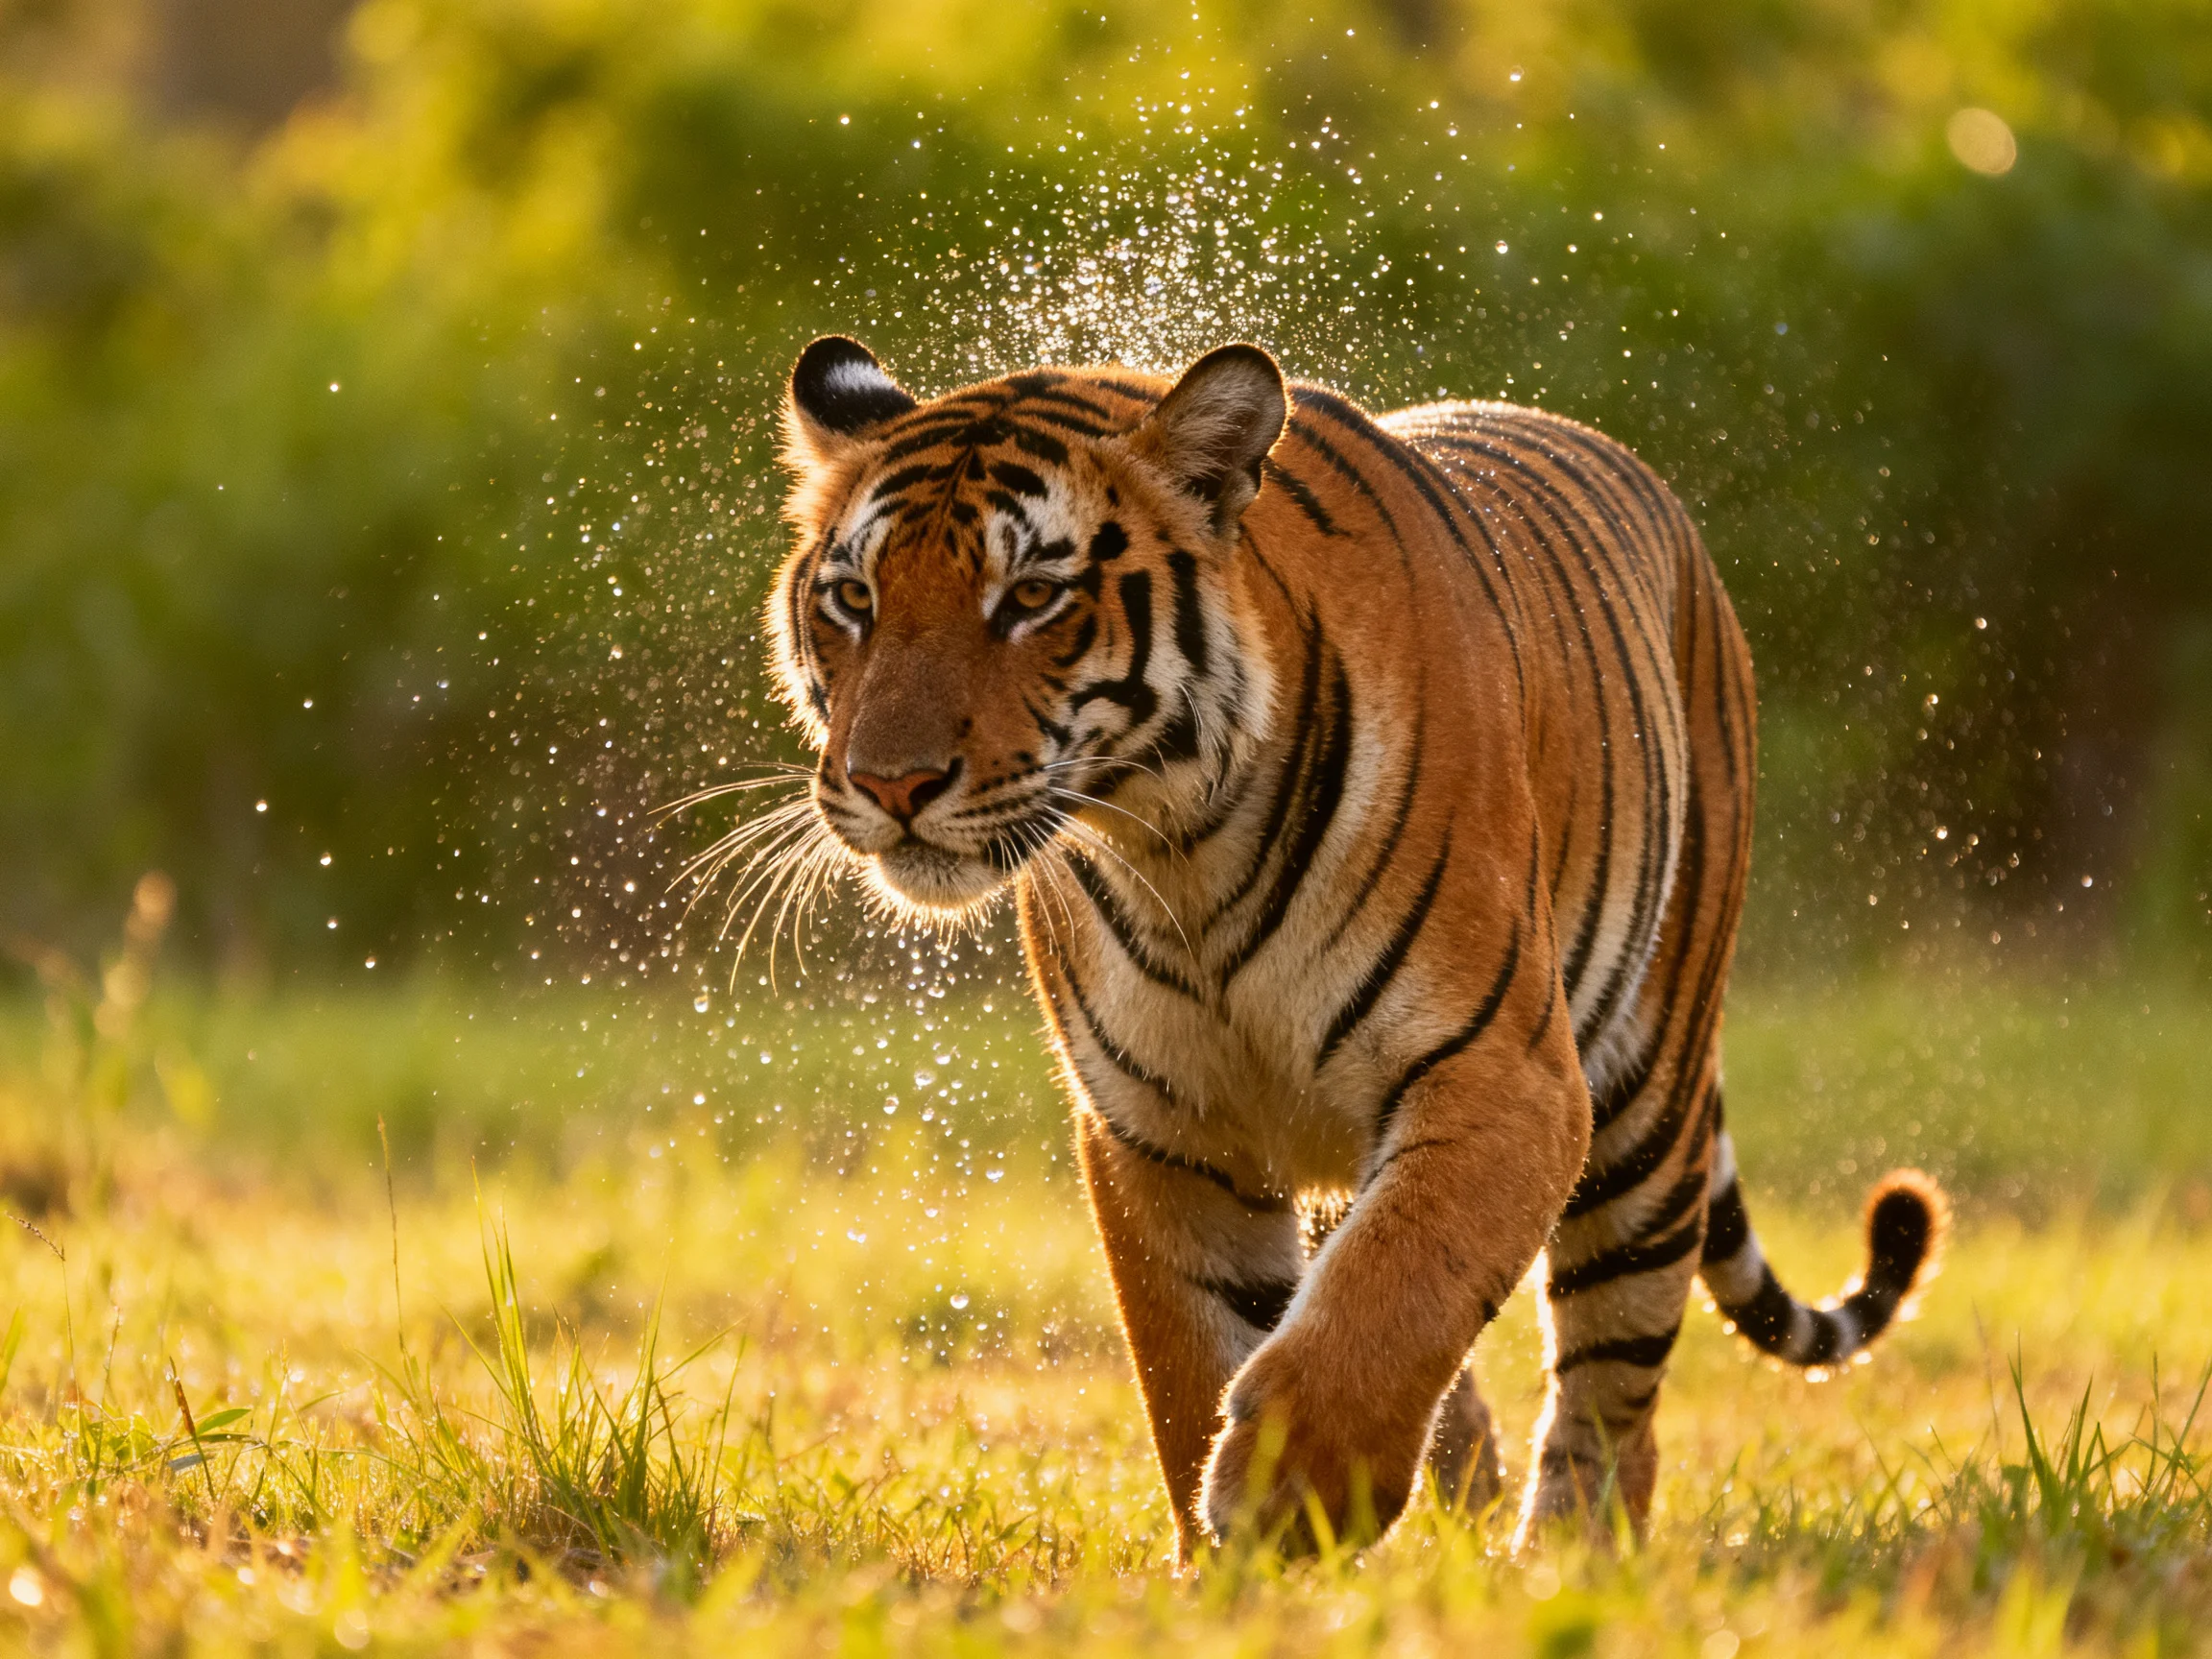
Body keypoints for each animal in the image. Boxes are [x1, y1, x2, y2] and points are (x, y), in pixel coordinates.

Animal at [756, 332, 1946, 1556]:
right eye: (854, 597)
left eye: (1033, 597)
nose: (891, 784)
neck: (1182, 849)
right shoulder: (1162, 1126)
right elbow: (1192, 1357)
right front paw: (1227, 1560)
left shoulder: (1503, 1078)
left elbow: (1398, 1286)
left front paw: (1294, 1494)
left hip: (1646, 1104)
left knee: (1611, 1393)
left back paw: (1566, 1559)